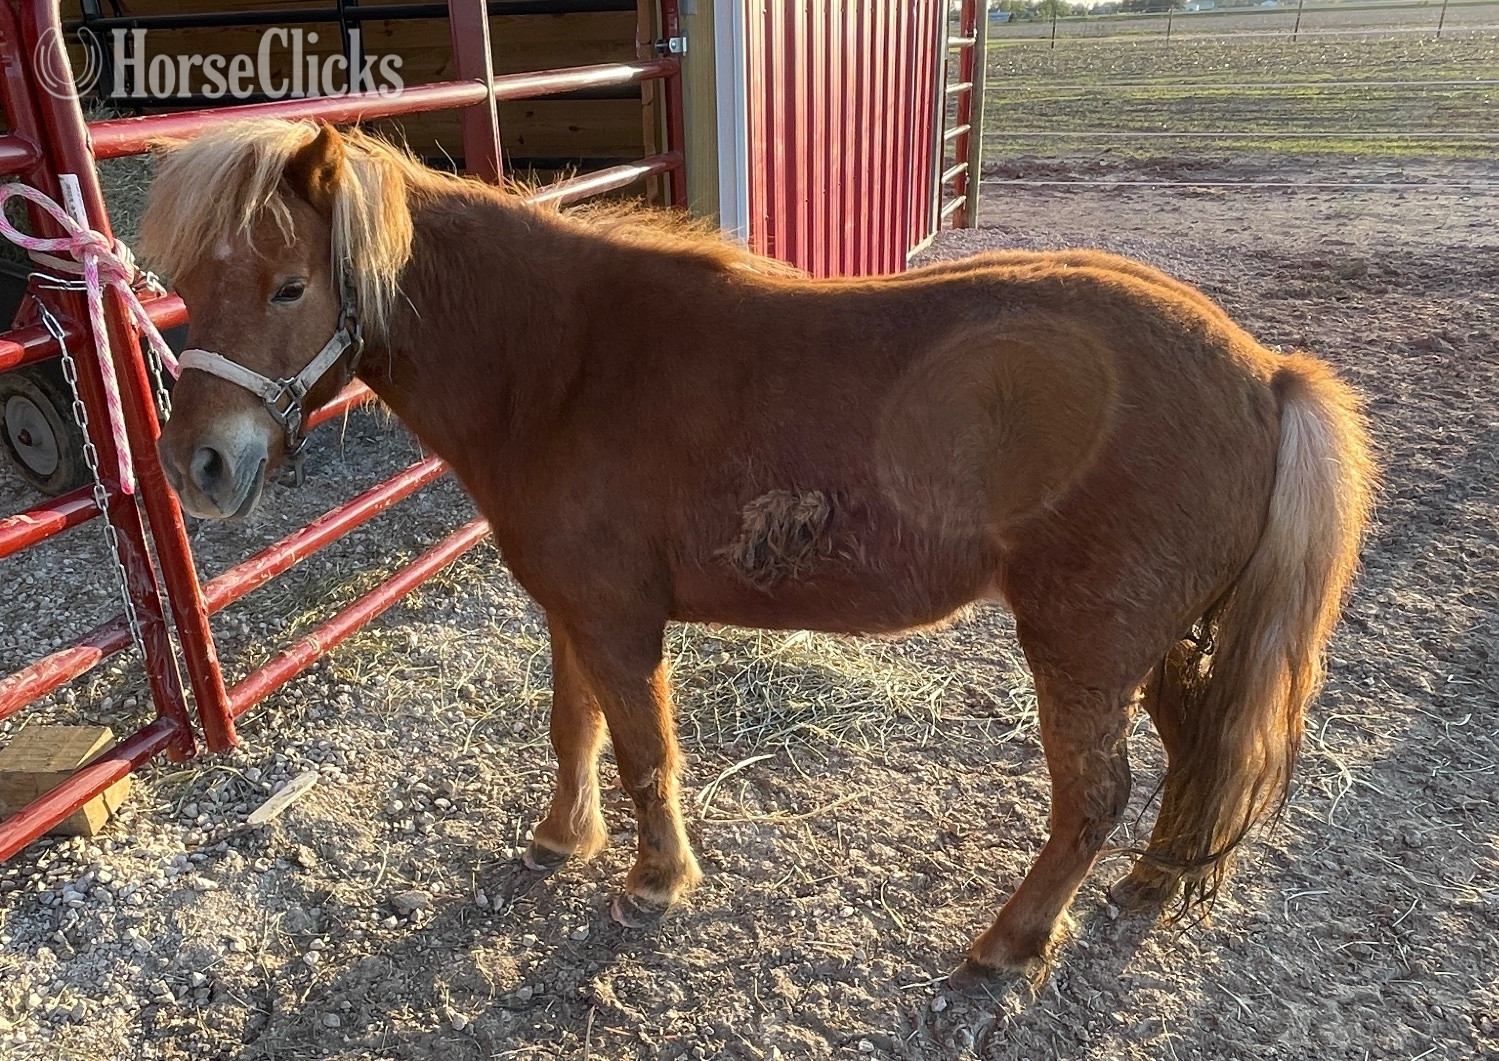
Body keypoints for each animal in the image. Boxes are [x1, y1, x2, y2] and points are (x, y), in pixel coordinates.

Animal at [140, 119, 1374, 985]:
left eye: (290, 284)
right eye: (188, 288)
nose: (198, 467)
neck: (564, 363)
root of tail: (1262, 373)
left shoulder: (620, 620)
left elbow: (644, 752)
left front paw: (652, 879)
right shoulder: (570, 608)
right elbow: (573, 728)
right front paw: (560, 838)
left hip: (1082, 648)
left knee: (1094, 795)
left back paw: (1008, 941)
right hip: (1157, 644)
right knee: (1196, 748)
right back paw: (1153, 882)